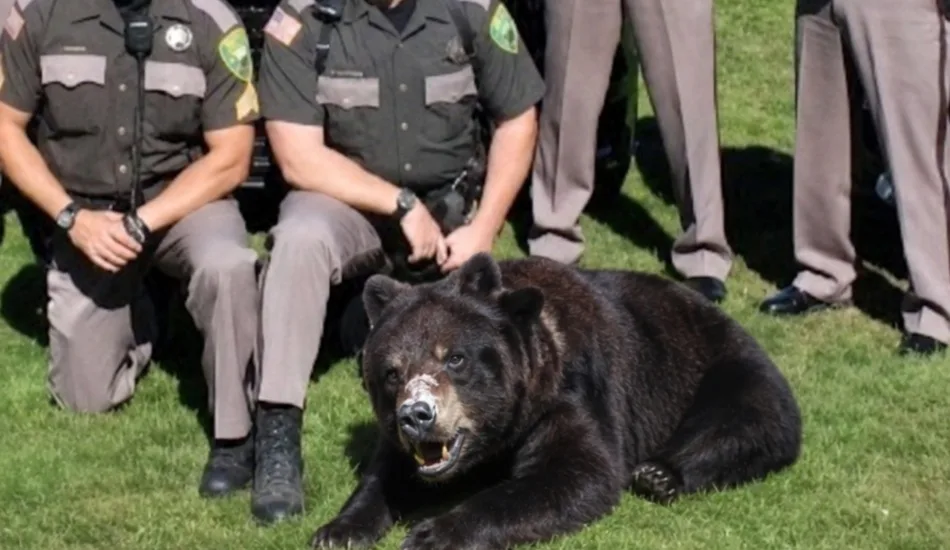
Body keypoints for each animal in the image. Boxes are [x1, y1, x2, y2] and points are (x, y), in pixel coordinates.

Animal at [310, 253, 802, 550]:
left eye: (455, 357)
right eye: (391, 372)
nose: (417, 415)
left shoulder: (568, 397)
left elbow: (574, 472)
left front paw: (433, 532)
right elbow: (385, 473)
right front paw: (338, 529)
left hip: (717, 362)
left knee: (743, 420)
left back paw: (660, 474)